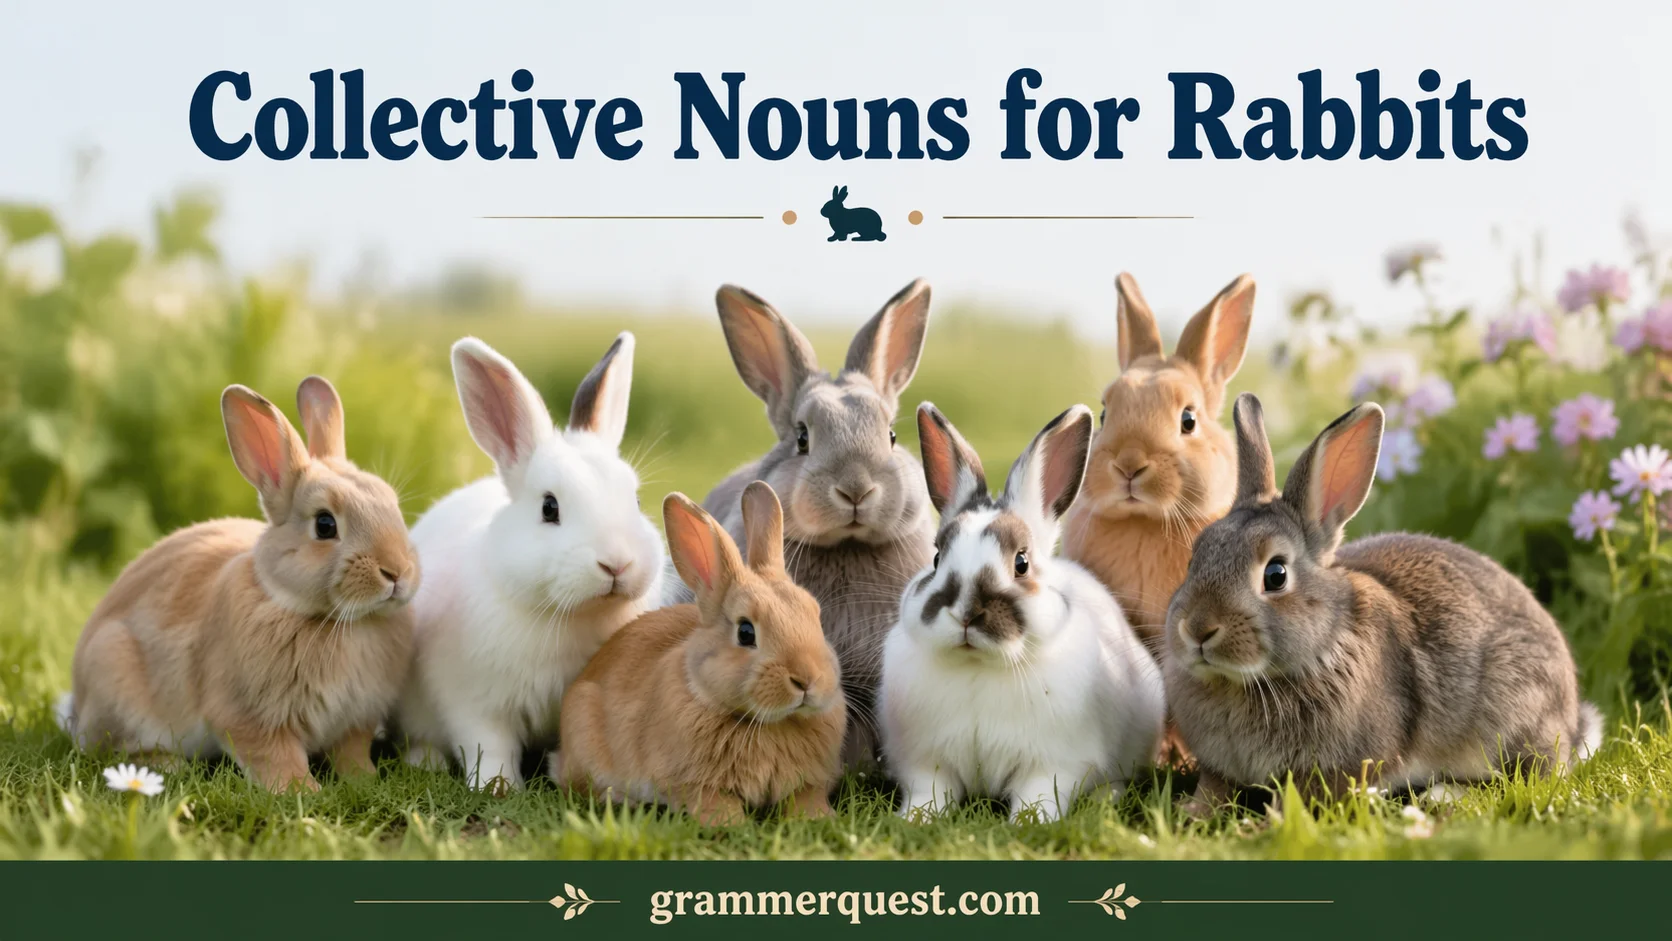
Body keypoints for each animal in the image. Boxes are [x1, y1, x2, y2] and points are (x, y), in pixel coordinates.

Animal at [58, 378, 419, 793]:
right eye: (325, 524)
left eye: (393, 505)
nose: (397, 571)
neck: (341, 622)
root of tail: (78, 705)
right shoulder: (250, 717)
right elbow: (276, 758)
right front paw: (302, 792)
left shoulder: (355, 720)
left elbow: (351, 753)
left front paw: (365, 781)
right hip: (116, 676)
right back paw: (168, 766)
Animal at [395, 333, 664, 791]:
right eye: (549, 508)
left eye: (637, 501)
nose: (616, 564)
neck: (569, 616)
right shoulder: (475, 702)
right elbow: (489, 747)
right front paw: (497, 787)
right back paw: (425, 762)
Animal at [555, 482, 846, 825]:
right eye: (745, 632)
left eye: (817, 617)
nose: (807, 679)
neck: (770, 724)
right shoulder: (695, 784)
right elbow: (715, 803)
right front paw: (732, 824)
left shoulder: (808, 783)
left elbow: (805, 798)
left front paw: (819, 818)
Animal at [880, 403, 1165, 822]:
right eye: (935, 558)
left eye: (1021, 563)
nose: (966, 613)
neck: (979, 667)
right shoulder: (927, 763)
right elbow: (930, 793)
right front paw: (915, 820)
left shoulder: (1053, 765)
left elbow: (1038, 795)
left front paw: (1027, 823)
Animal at [1165, 392, 1603, 809]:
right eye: (1194, 557)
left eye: (1276, 575)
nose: (1198, 629)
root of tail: (1572, 722)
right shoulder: (1219, 768)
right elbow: (1213, 789)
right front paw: (1192, 812)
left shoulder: (1337, 768)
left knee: (1523, 779)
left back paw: (1444, 796)